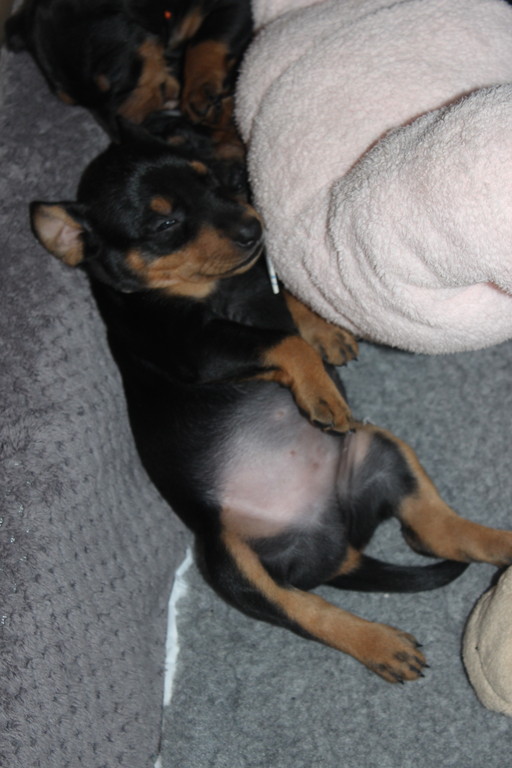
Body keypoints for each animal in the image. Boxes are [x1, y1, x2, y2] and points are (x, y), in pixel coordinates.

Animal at [5, 0, 252, 132]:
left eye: (116, 75)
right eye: (75, 104)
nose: (120, 140)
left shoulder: (231, 6)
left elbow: (206, 41)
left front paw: (199, 90)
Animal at [29, 122, 512, 683]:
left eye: (212, 181)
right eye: (165, 222)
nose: (252, 226)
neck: (214, 286)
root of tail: (340, 548)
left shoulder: (254, 291)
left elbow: (290, 305)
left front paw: (327, 332)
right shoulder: (189, 344)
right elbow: (282, 342)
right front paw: (321, 389)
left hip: (381, 451)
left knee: (434, 532)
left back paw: (503, 544)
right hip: (231, 563)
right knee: (307, 610)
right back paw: (380, 644)